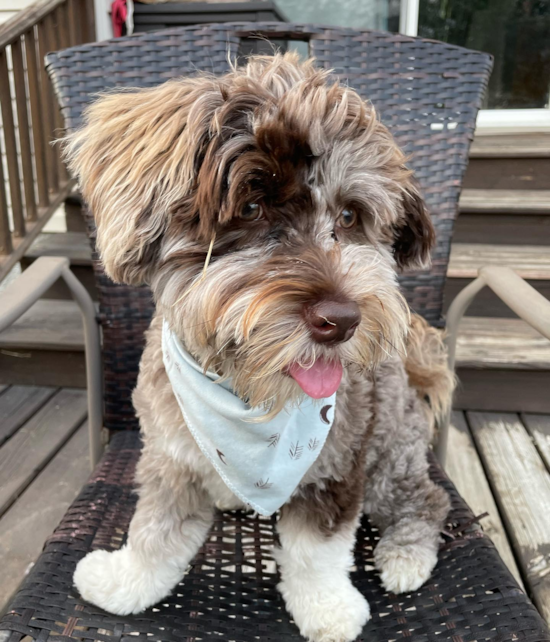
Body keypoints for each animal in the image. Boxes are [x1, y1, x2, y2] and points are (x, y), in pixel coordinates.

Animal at [68, 53, 458, 640]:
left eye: (350, 216)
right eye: (251, 207)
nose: (342, 321)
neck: (247, 399)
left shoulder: (339, 465)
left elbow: (316, 551)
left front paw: (327, 608)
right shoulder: (169, 459)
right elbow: (156, 531)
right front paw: (127, 583)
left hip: (390, 454)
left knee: (427, 499)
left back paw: (406, 555)